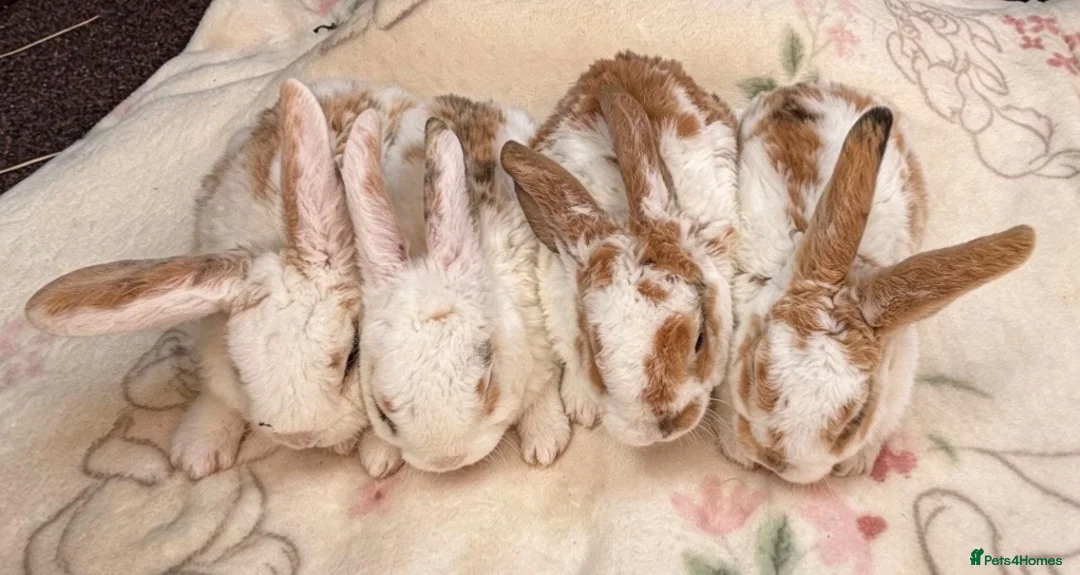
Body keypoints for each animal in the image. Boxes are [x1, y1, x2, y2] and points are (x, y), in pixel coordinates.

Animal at [25, 78, 422, 479]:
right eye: (239, 368)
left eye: (353, 356)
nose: (300, 437)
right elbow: (219, 393)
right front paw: (197, 453)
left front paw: (380, 454)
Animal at [343, 92, 572, 474]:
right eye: (382, 412)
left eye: (488, 384)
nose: (447, 460)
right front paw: (377, 457)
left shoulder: (541, 344)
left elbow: (542, 389)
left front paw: (545, 441)